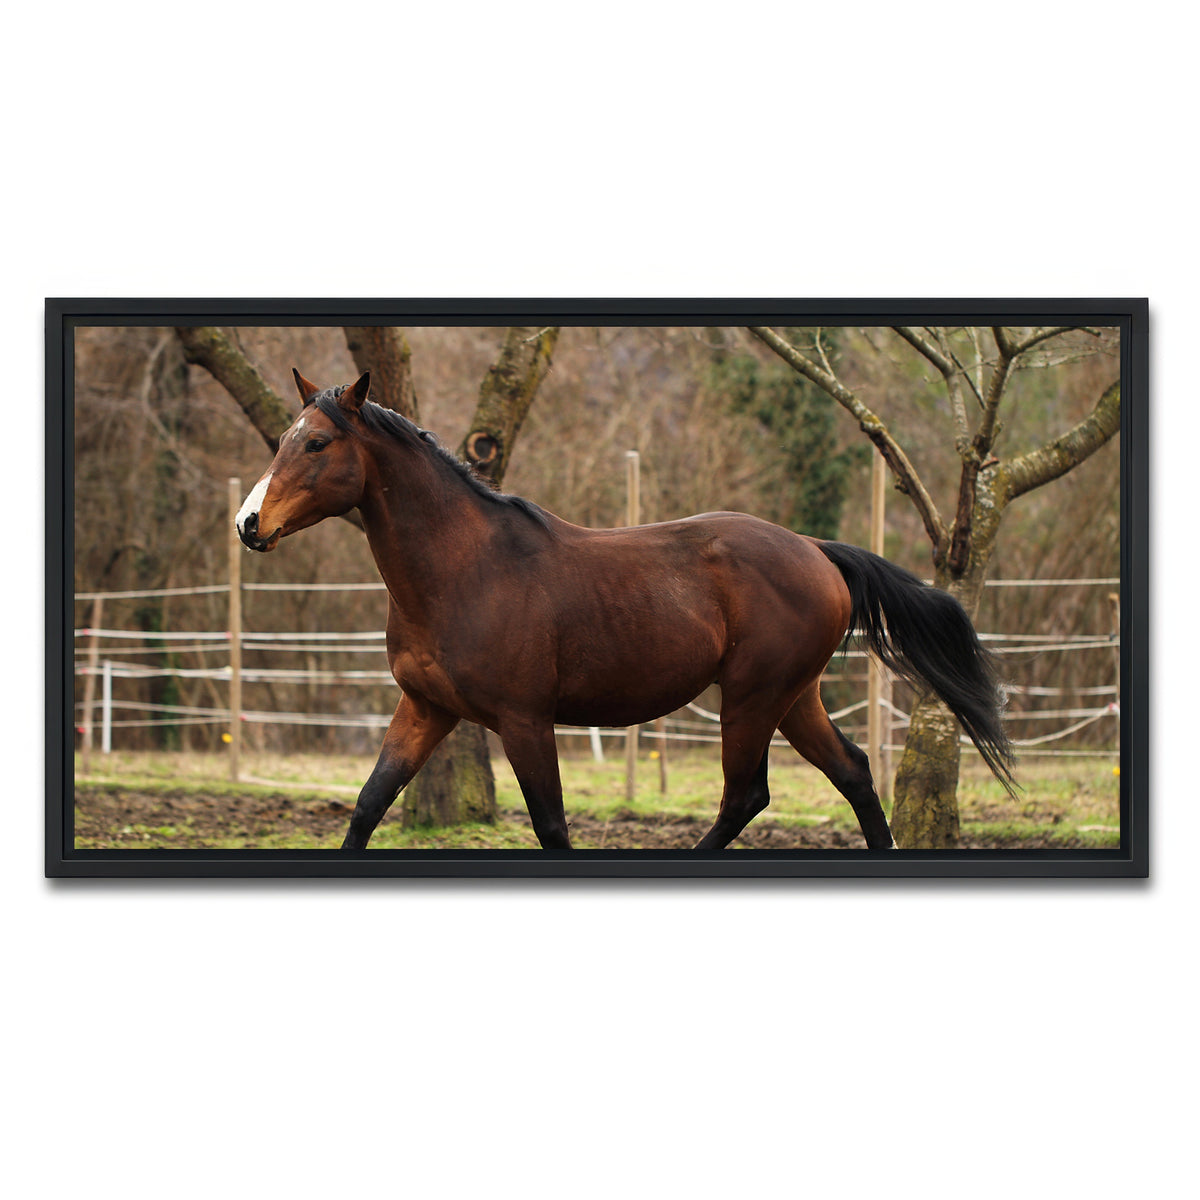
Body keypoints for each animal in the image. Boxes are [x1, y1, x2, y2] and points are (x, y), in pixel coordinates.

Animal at [236, 368, 1015, 851]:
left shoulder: (524, 720)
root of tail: (816, 550)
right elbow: (369, 804)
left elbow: (551, 825)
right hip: (794, 697)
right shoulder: (424, 709)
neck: (462, 570)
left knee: (746, 796)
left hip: (753, 697)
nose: (248, 524)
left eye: (316, 442)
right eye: (280, 440)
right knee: (850, 772)